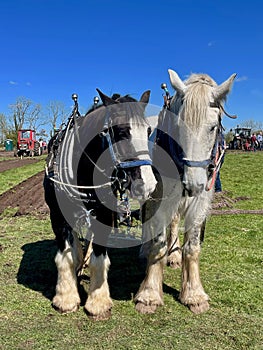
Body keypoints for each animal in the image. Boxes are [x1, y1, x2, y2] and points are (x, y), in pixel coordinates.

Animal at [44, 89, 158, 320]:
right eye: (121, 131)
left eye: (148, 130)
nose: (148, 183)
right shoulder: (57, 216)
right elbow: (65, 256)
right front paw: (66, 297)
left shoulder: (104, 214)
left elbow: (99, 256)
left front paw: (98, 302)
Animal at [136, 69, 237, 314]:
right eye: (179, 126)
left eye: (213, 127)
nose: (193, 183)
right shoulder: (160, 196)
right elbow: (158, 244)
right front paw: (150, 293)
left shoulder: (202, 198)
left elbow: (192, 246)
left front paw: (194, 294)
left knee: (173, 222)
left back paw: (173, 255)